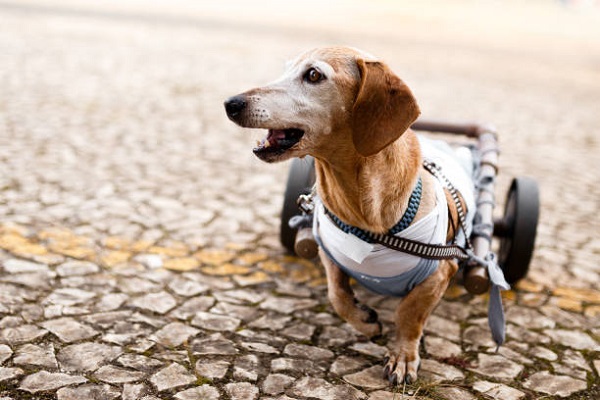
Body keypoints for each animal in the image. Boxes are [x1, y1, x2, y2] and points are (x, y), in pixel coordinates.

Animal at [223, 46, 476, 384]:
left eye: (313, 74)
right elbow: (338, 295)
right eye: (286, 68)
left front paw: (403, 355)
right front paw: (365, 321)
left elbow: (409, 313)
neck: (364, 215)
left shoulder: (441, 270)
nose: (231, 103)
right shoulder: (329, 253)